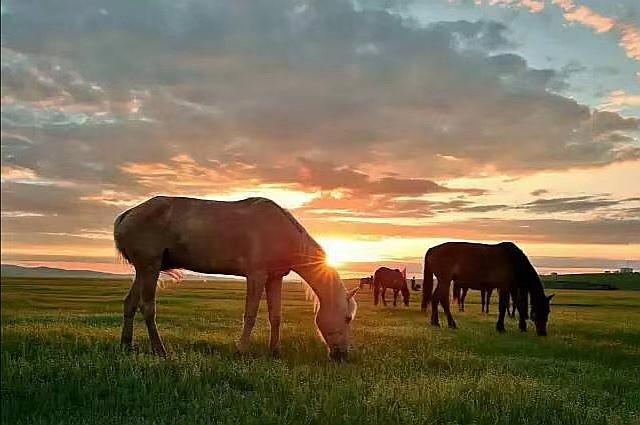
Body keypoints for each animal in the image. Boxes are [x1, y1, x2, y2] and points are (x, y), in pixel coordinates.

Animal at [115, 197, 360, 360]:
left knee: (130, 304)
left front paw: (274, 351)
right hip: (150, 268)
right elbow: (250, 315)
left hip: (143, 270)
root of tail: (127, 215)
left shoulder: (274, 278)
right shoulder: (256, 276)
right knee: (148, 307)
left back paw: (126, 345)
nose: (342, 355)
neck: (281, 232)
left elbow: (276, 316)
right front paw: (241, 349)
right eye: (347, 318)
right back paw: (159, 350)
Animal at [420, 242, 556, 334]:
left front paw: (522, 326)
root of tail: (432, 249)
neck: (513, 260)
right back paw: (451, 323)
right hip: (445, 281)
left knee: (435, 299)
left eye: (548, 311)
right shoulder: (504, 287)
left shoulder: (513, 287)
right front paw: (500, 327)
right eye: (539, 310)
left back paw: (435, 322)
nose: (542, 333)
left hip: (443, 281)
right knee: (442, 300)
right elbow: (503, 305)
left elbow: (519, 305)